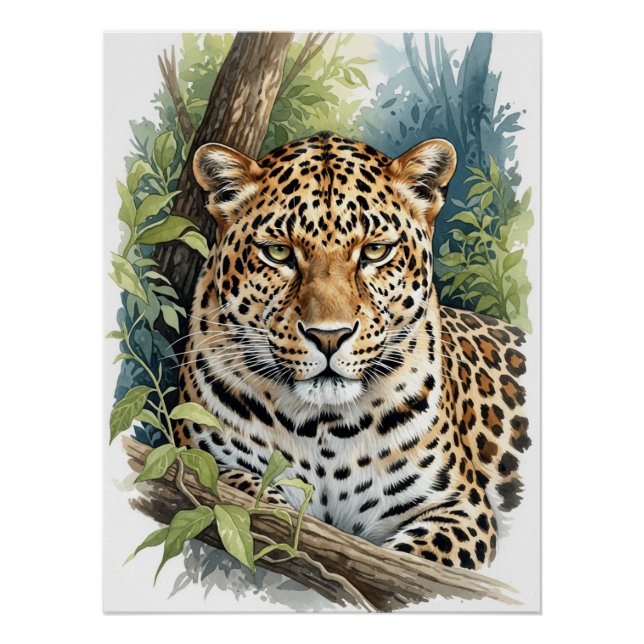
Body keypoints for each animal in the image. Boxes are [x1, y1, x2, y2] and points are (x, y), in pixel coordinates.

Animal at [172, 131, 531, 571]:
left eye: (375, 252)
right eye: (278, 253)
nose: (329, 336)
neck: (324, 427)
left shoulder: (459, 506)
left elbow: (410, 563)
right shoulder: (203, 459)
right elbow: (248, 501)